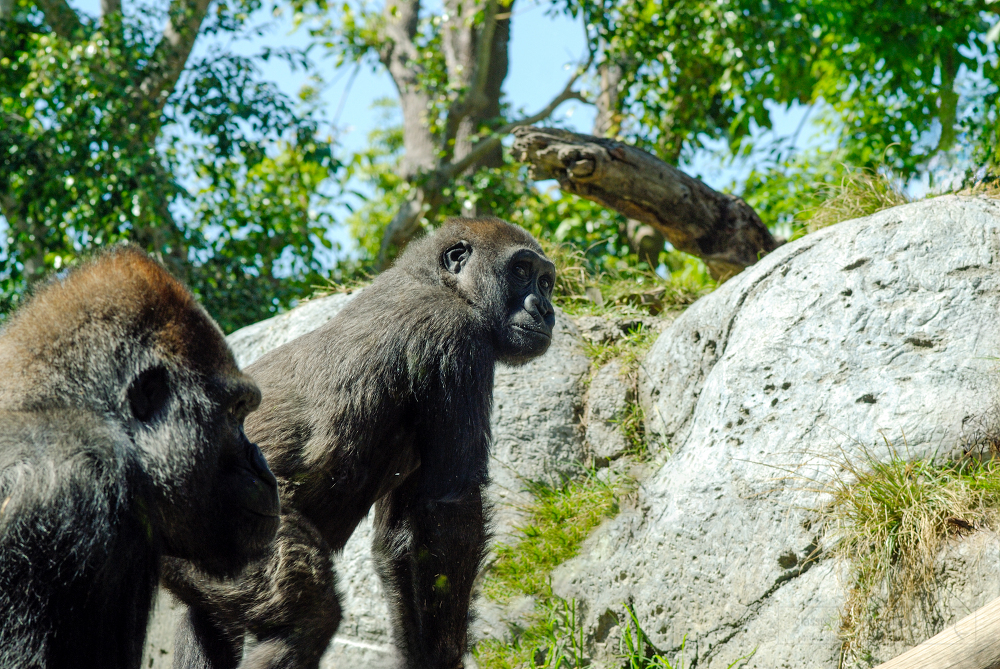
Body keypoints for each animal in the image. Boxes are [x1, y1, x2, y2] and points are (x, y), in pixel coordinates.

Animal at [163, 217, 556, 664]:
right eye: (521, 271)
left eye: (546, 282)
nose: (546, 310)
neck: (440, 281)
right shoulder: (455, 338)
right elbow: (449, 513)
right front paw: (445, 655)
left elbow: (401, 542)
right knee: (307, 618)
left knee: (207, 618)